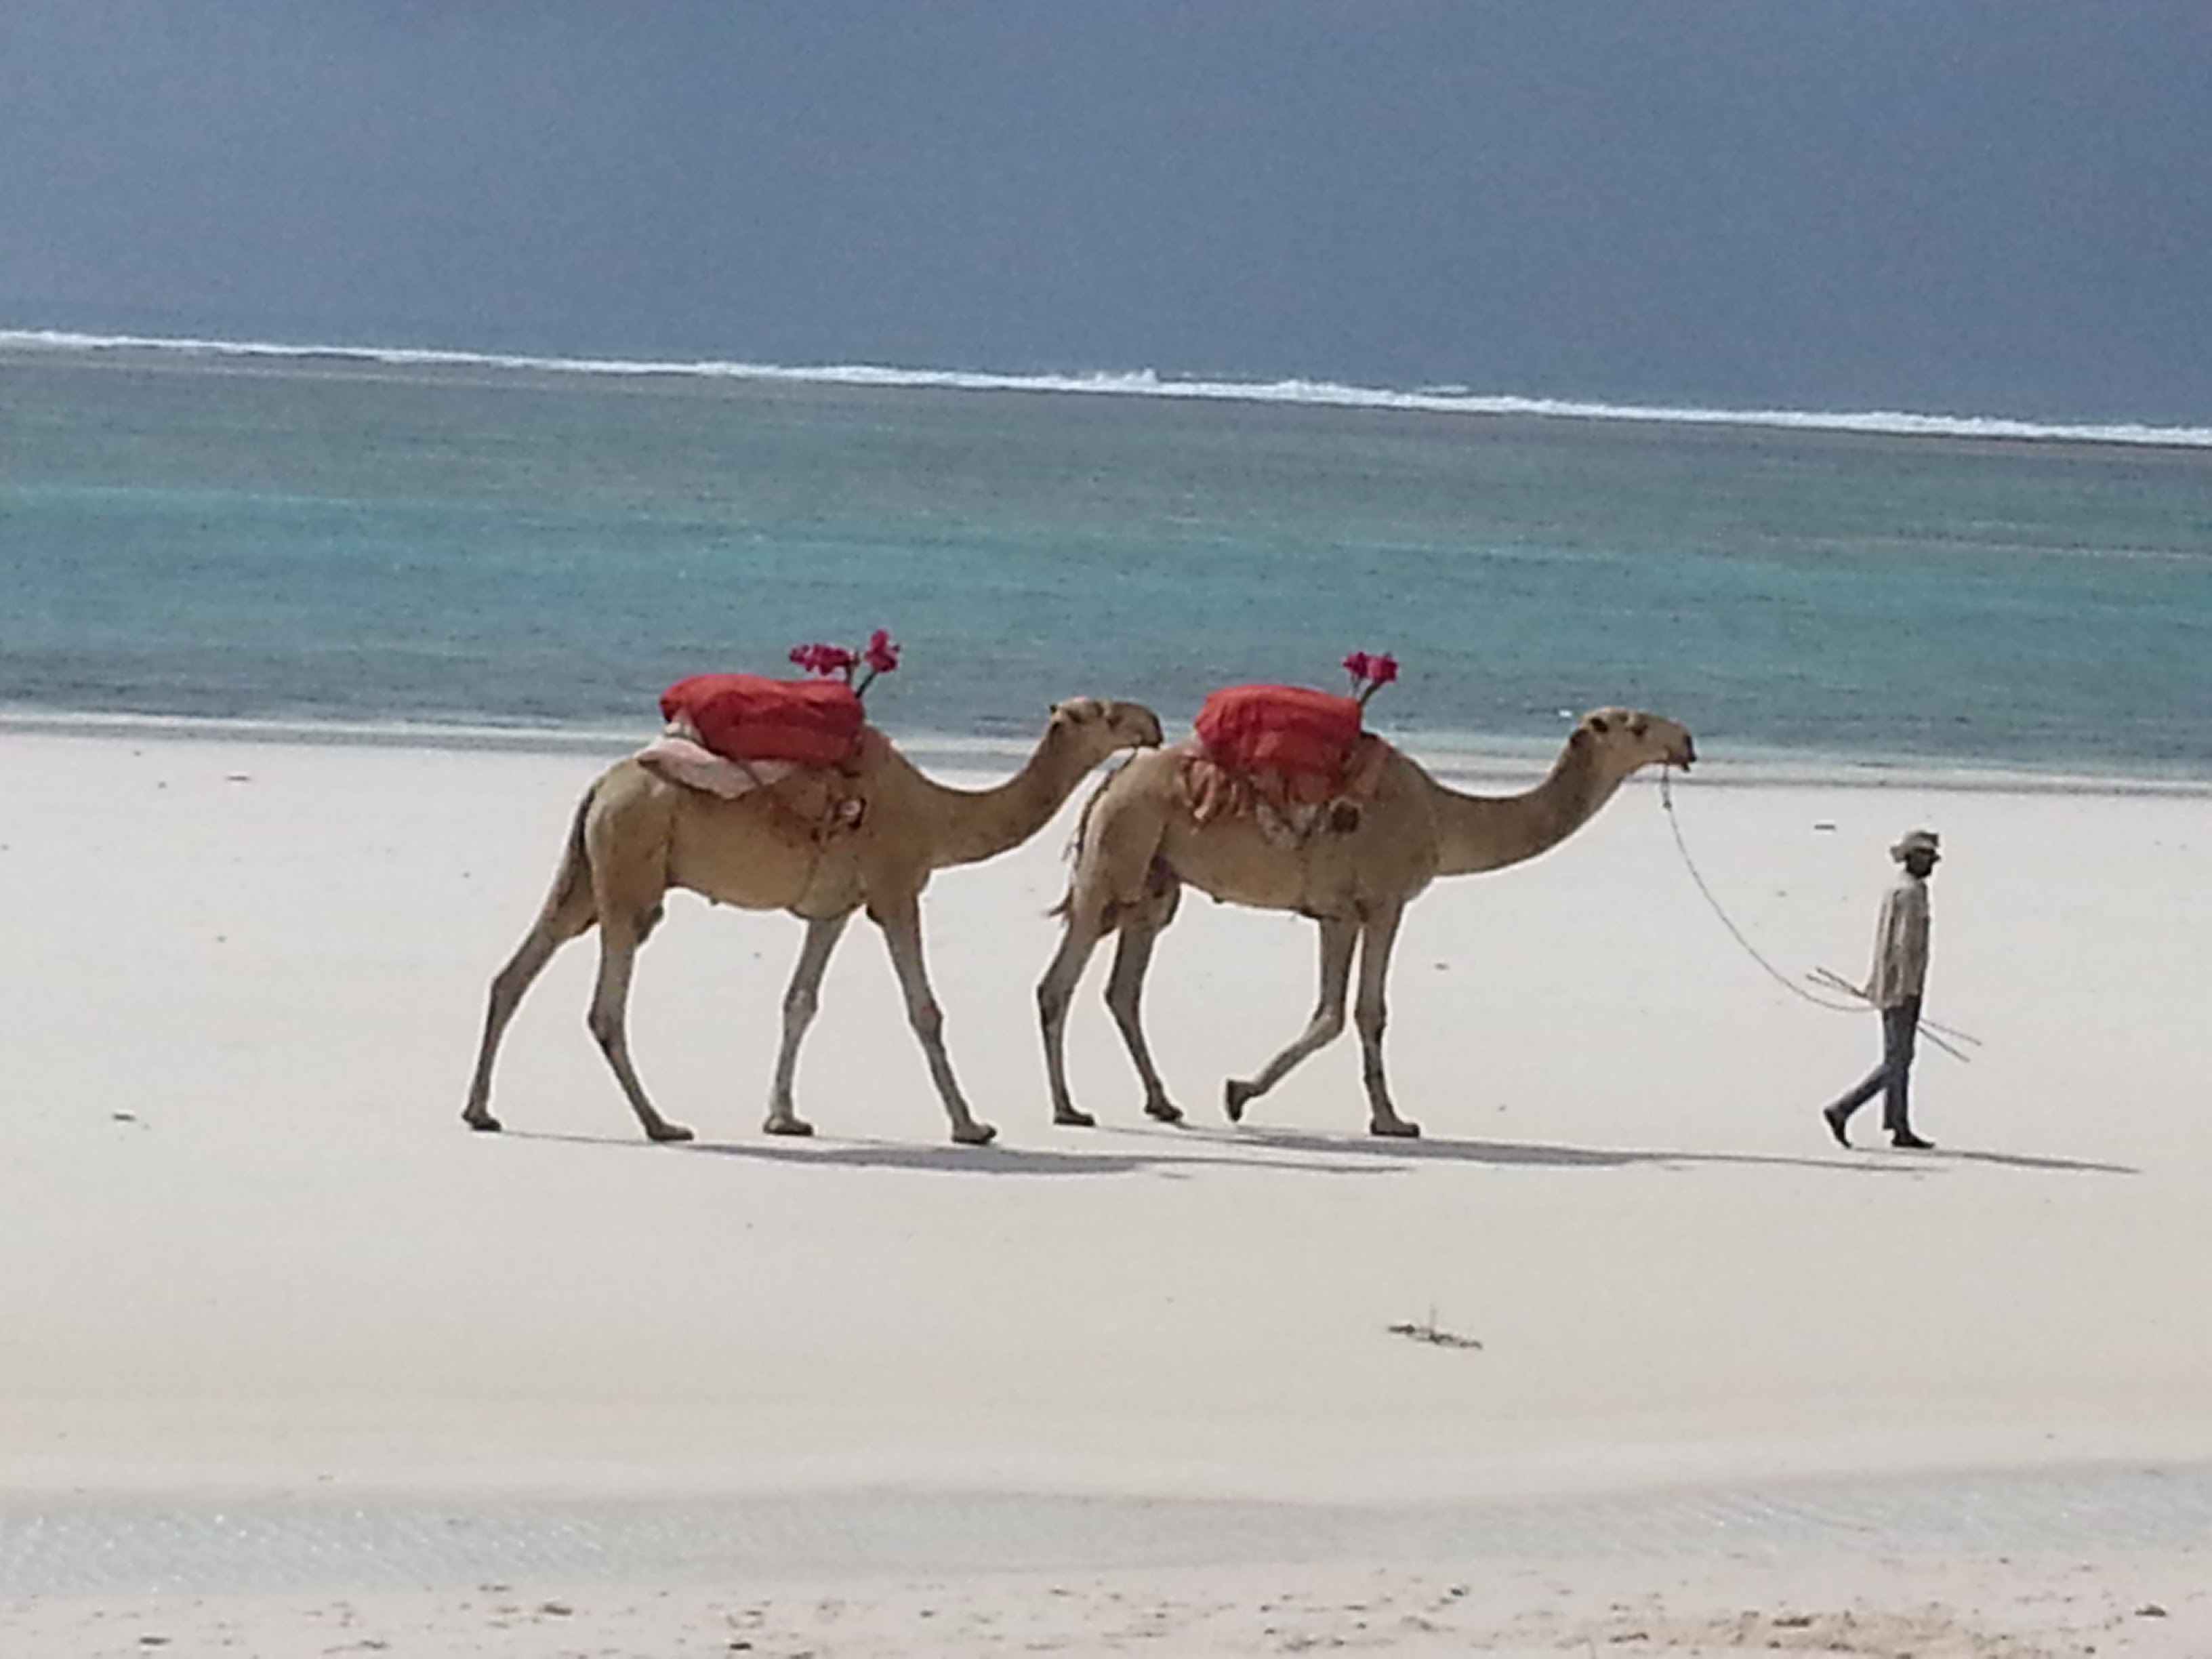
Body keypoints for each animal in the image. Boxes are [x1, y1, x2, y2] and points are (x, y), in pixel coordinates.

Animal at [465, 696, 1164, 1146]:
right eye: (1107, 713)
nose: (1153, 724)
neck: (937, 815)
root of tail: (601, 787)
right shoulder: (895, 886)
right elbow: (925, 1011)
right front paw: (971, 1126)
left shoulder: (834, 907)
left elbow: (800, 1002)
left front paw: (785, 1118)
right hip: (629, 867)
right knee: (605, 1006)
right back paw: (661, 1124)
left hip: (587, 870)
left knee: (515, 972)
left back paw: (481, 1111)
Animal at [1037, 706, 1695, 1137]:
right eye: (1637, 724)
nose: (1687, 742)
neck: (1442, 816)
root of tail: (1109, 782)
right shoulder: (1382, 902)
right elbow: (1365, 1011)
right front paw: (1391, 1121)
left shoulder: (1336, 912)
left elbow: (1330, 1013)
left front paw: (1240, 1092)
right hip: (1117, 855)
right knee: (1059, 982)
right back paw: (1069, 1108)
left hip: (1155, 880)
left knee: (1123, 988)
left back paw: (1162, 1104)